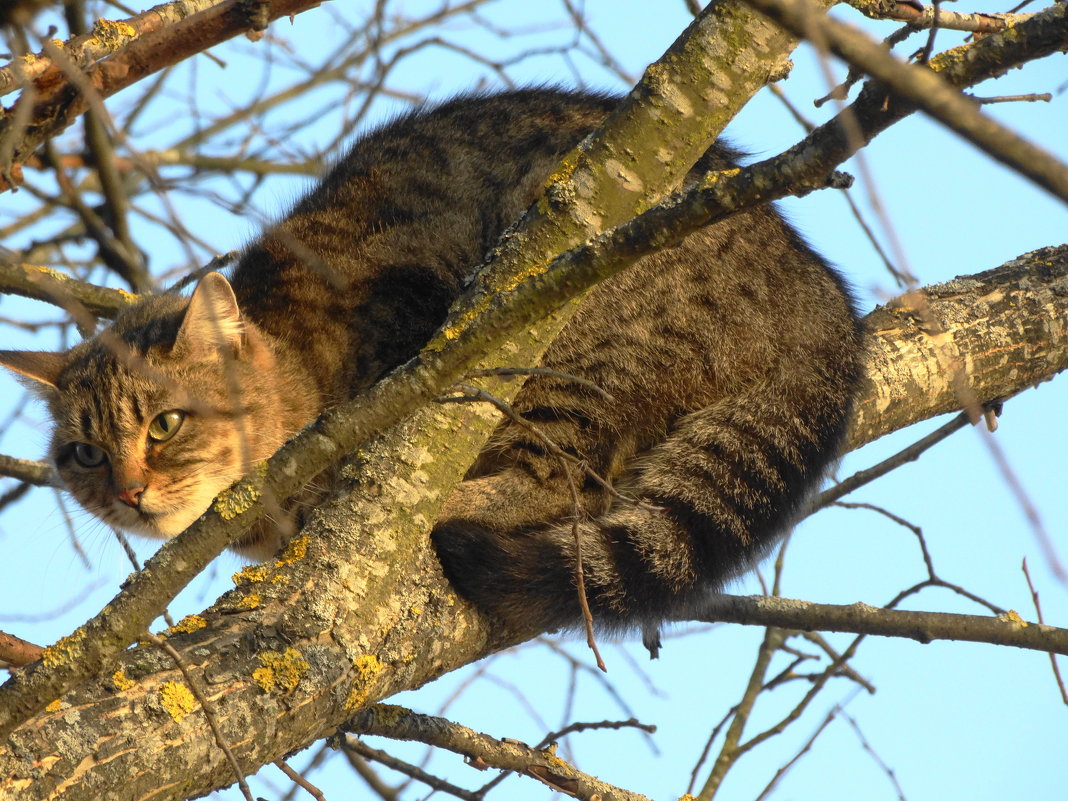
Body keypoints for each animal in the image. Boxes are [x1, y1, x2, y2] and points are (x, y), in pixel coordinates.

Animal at [0, 87, 862, 645]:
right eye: (85, 453)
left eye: (166, 424)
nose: (128, 492)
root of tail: (821, 301)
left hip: (563, 335)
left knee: (563, 478)